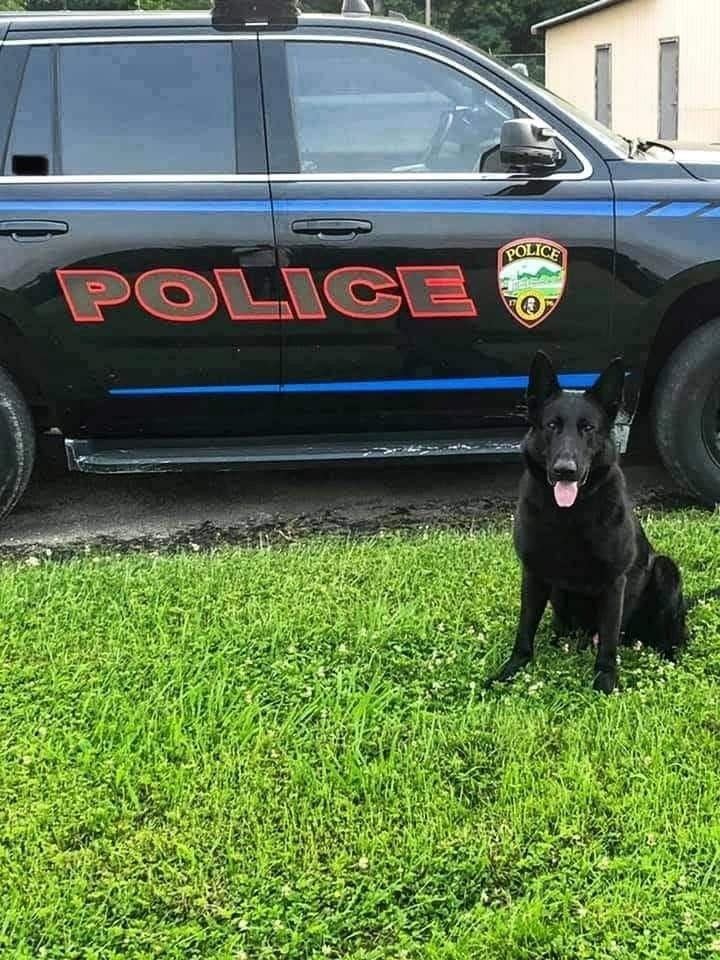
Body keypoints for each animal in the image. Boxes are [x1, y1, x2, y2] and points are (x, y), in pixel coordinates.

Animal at [490, 350, 688, 688]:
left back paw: (668, 656)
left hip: (665, 570)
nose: (565, 471)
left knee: (669, 635)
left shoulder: (614, 583)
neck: (568, 515)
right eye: (552, 425)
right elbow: (524, 629)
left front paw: (605, 682)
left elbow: (608, 641)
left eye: (588, 428)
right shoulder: (534, 575)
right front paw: (512, 669)